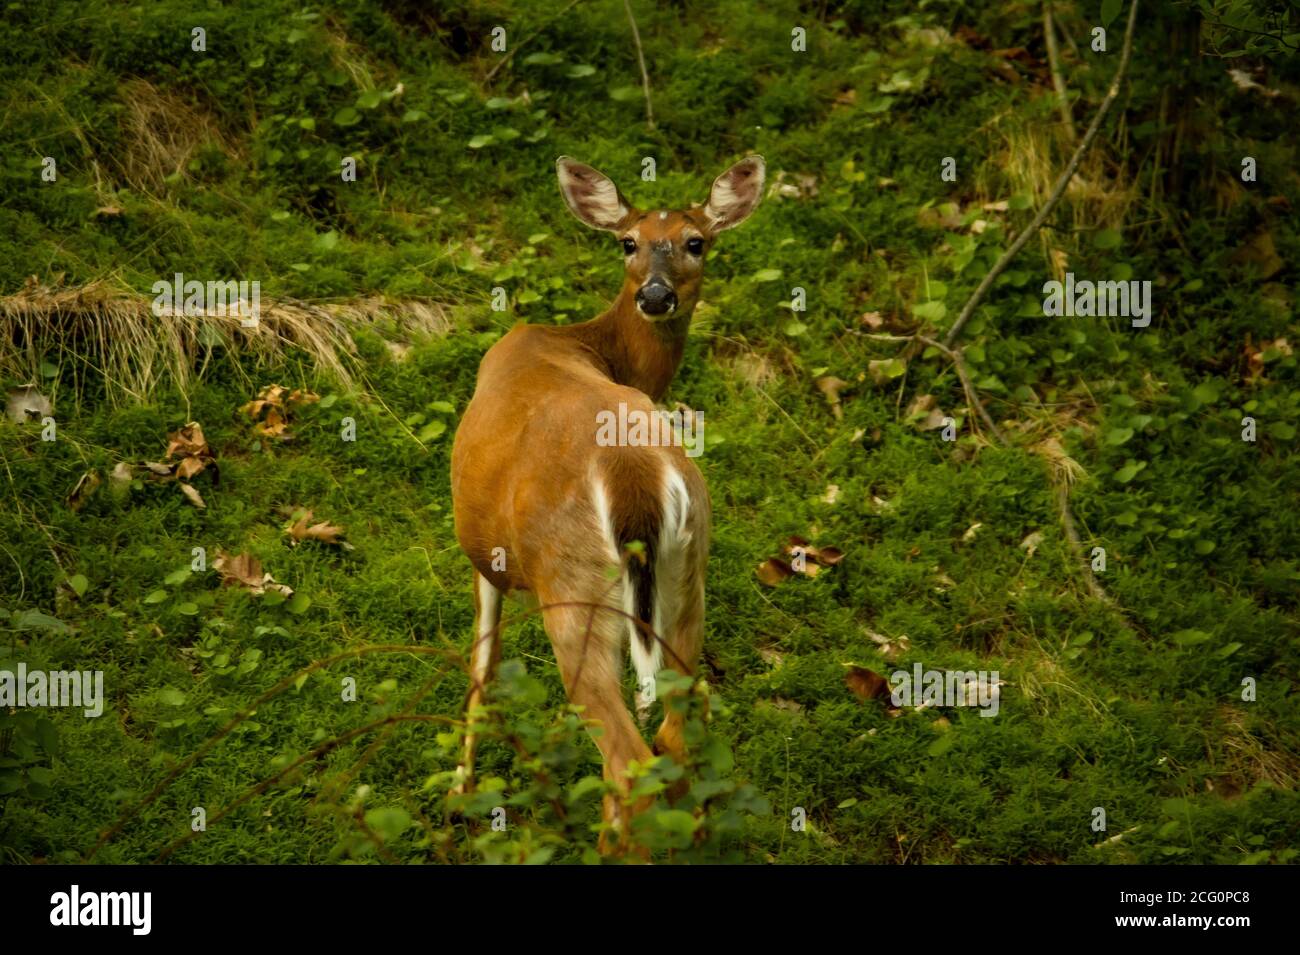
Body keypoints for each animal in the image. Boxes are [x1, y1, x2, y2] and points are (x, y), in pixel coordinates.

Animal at [449, 154, 765, 850]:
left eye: (696, 242)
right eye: (629, 242)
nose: (656, 295)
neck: (584, 344)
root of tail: (632, 472)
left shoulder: (486, 557)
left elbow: (482, 664)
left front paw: (459, 792)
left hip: (573, 588)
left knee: (628, 761)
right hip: (689, 572)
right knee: (676, 732)